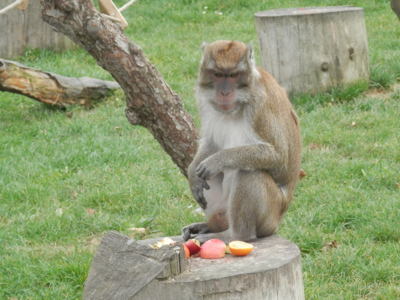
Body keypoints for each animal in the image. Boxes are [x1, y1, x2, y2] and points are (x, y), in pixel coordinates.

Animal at [183, 39, 302, 243]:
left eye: (232, 75)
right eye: (217, 74)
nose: (223, 92)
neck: (239, 104)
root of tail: (278, 220)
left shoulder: (260, 106)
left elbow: (278, 157)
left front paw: (218, 160)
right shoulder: (204, 101)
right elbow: (211, 143)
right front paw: (192, 173)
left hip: (270, 215)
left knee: (249, 172)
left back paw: (233, 236)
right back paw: (211, 225)